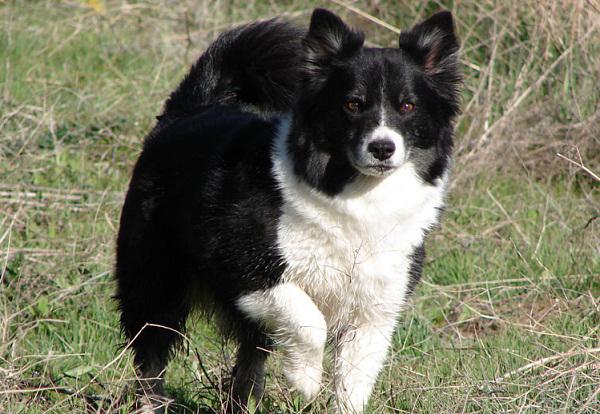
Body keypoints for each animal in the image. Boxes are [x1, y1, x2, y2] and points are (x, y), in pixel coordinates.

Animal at [115, 7, 462, 414]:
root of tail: (187, 111)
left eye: (408, 106)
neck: (355, 194)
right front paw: (306, 379)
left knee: (247, 369)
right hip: (156, 281)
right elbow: (308, 320)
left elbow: (353, 381)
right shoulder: (244, 266)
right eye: (352, 104)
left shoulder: (375, 307)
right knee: (151, 356)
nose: (382, 148)